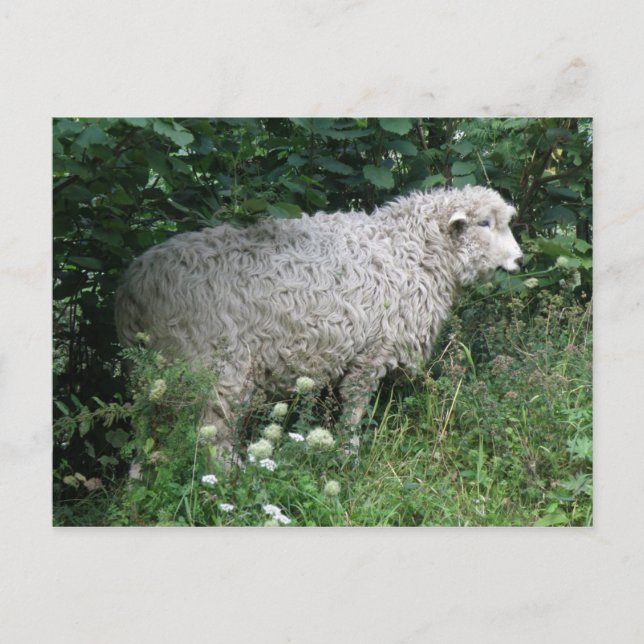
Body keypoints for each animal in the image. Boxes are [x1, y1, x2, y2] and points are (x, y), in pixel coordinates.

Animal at [115, 185, 523, 459]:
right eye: (485, 223)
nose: (520, 261)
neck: (411, 251)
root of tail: (133, 287)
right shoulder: (372, 351)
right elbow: (354, 410)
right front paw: (348, 456)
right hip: (215, 365)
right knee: (212, 432)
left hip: (154, 374)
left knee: (145, 431)